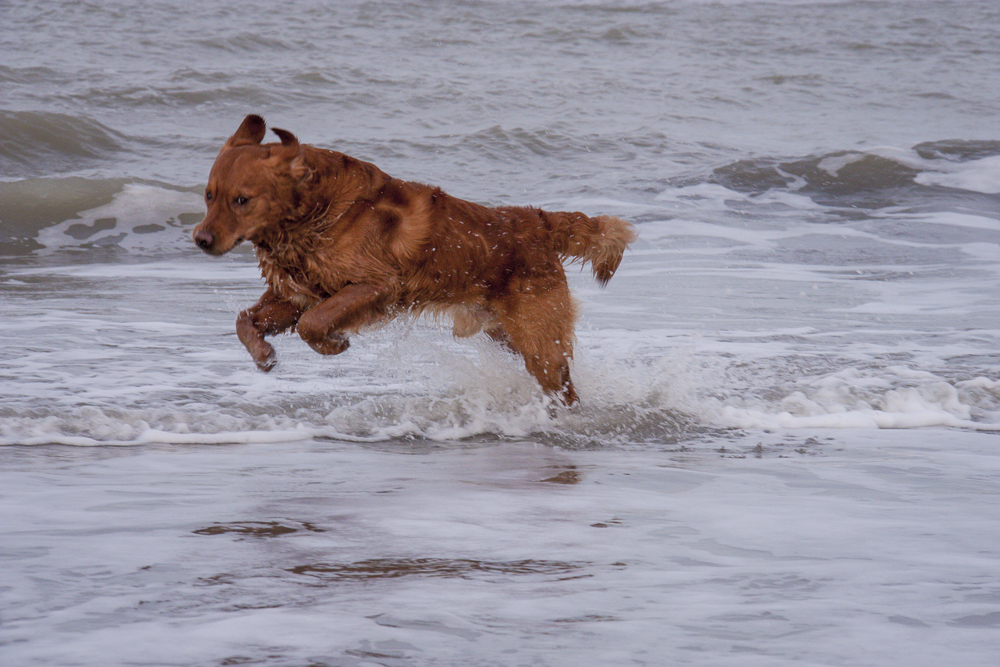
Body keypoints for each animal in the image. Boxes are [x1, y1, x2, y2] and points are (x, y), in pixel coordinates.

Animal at [191, 115, 636, 404]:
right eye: (209, 195)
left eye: (242, 200)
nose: (201, 239)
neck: (312, 213)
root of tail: (536, 221)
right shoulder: (299, 294)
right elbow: (246, 320)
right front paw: (262, 354)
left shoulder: (377, 285)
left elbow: (313, 323)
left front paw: (333, 344)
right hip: (506, 333)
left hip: (539, 339)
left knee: (563, 386)